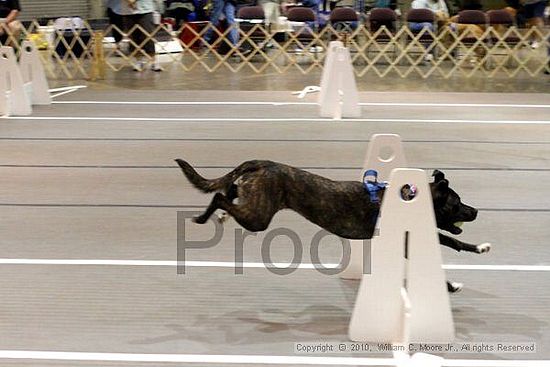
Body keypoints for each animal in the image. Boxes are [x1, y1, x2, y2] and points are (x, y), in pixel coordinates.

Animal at [177, 160, 492, 292]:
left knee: (228, 191)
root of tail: (261, 164)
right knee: (219, 196)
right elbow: (446, 248)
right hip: (260, 217)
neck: (410, 198)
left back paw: (221, 215)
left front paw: (479, 247)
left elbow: (453, 241)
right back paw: (204, 217)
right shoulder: (408, 240)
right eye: (457, 202)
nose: (476, 211)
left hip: (254, 206)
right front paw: (452, 284)